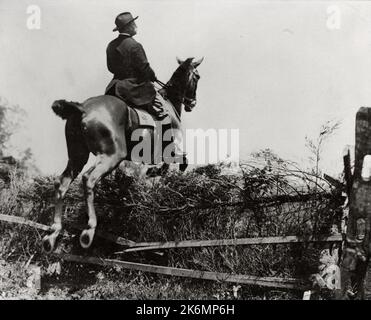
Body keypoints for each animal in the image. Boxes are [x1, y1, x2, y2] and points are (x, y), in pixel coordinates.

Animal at [42, 57, 205, 252]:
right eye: (197, 76)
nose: (192, 103)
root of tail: (83, 107)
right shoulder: (170, 150)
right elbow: (179, 162)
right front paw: (157, 173)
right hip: (113, 155)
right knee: (89, 178)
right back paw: (89, 230)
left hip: (78, 156)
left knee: (62, 183)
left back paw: (53, 233)